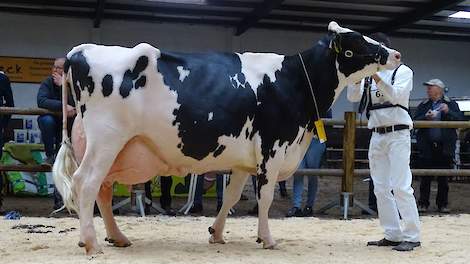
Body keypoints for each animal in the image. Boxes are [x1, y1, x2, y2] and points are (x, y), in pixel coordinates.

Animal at [54, 21, 400, 255]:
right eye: (358, 41)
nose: (396, 53)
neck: (295, 80)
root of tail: (80, 51)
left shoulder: (245, 161)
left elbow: (232, 197)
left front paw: (217, 233)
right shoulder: (273, 149)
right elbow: (265, 197)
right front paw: (267, 239)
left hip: (112, 147)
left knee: (102, 190)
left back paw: (116, 237)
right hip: (106, 139)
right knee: (85, 183)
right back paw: (92, 243)